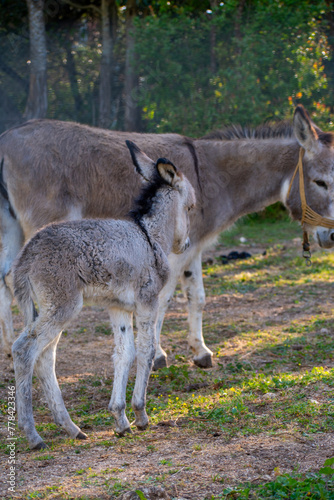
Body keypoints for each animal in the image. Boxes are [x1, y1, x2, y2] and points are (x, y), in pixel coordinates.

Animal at [12, 141, 196, 450]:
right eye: (191, 207)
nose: (187, 244)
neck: (149, 236)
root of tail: (27, 254)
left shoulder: (118, 308)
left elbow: (124, 353)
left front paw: (120, 420)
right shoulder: (148, 302)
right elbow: (146, 350)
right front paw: (140, 415)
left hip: (52, 309)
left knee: (45, 356)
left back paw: (72, 428)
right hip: (62, 306)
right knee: (25, 350)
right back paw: (34, 435)